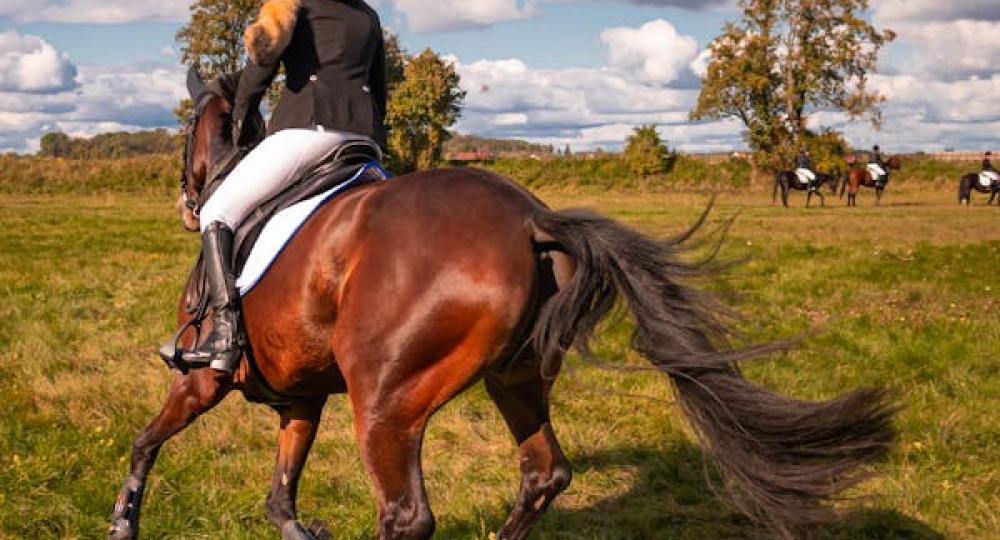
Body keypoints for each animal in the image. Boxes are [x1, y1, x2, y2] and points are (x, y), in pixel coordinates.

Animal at [109, 69, 900, 540]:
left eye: (185, 129)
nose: (187, 202)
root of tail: (530, 219)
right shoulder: (299, 396)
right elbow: (283, 492)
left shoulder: (203, 379)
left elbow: (146, 441)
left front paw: (123, 521)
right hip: (516, 378)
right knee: (544, 473)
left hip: (387, 402)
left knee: (406, 515)